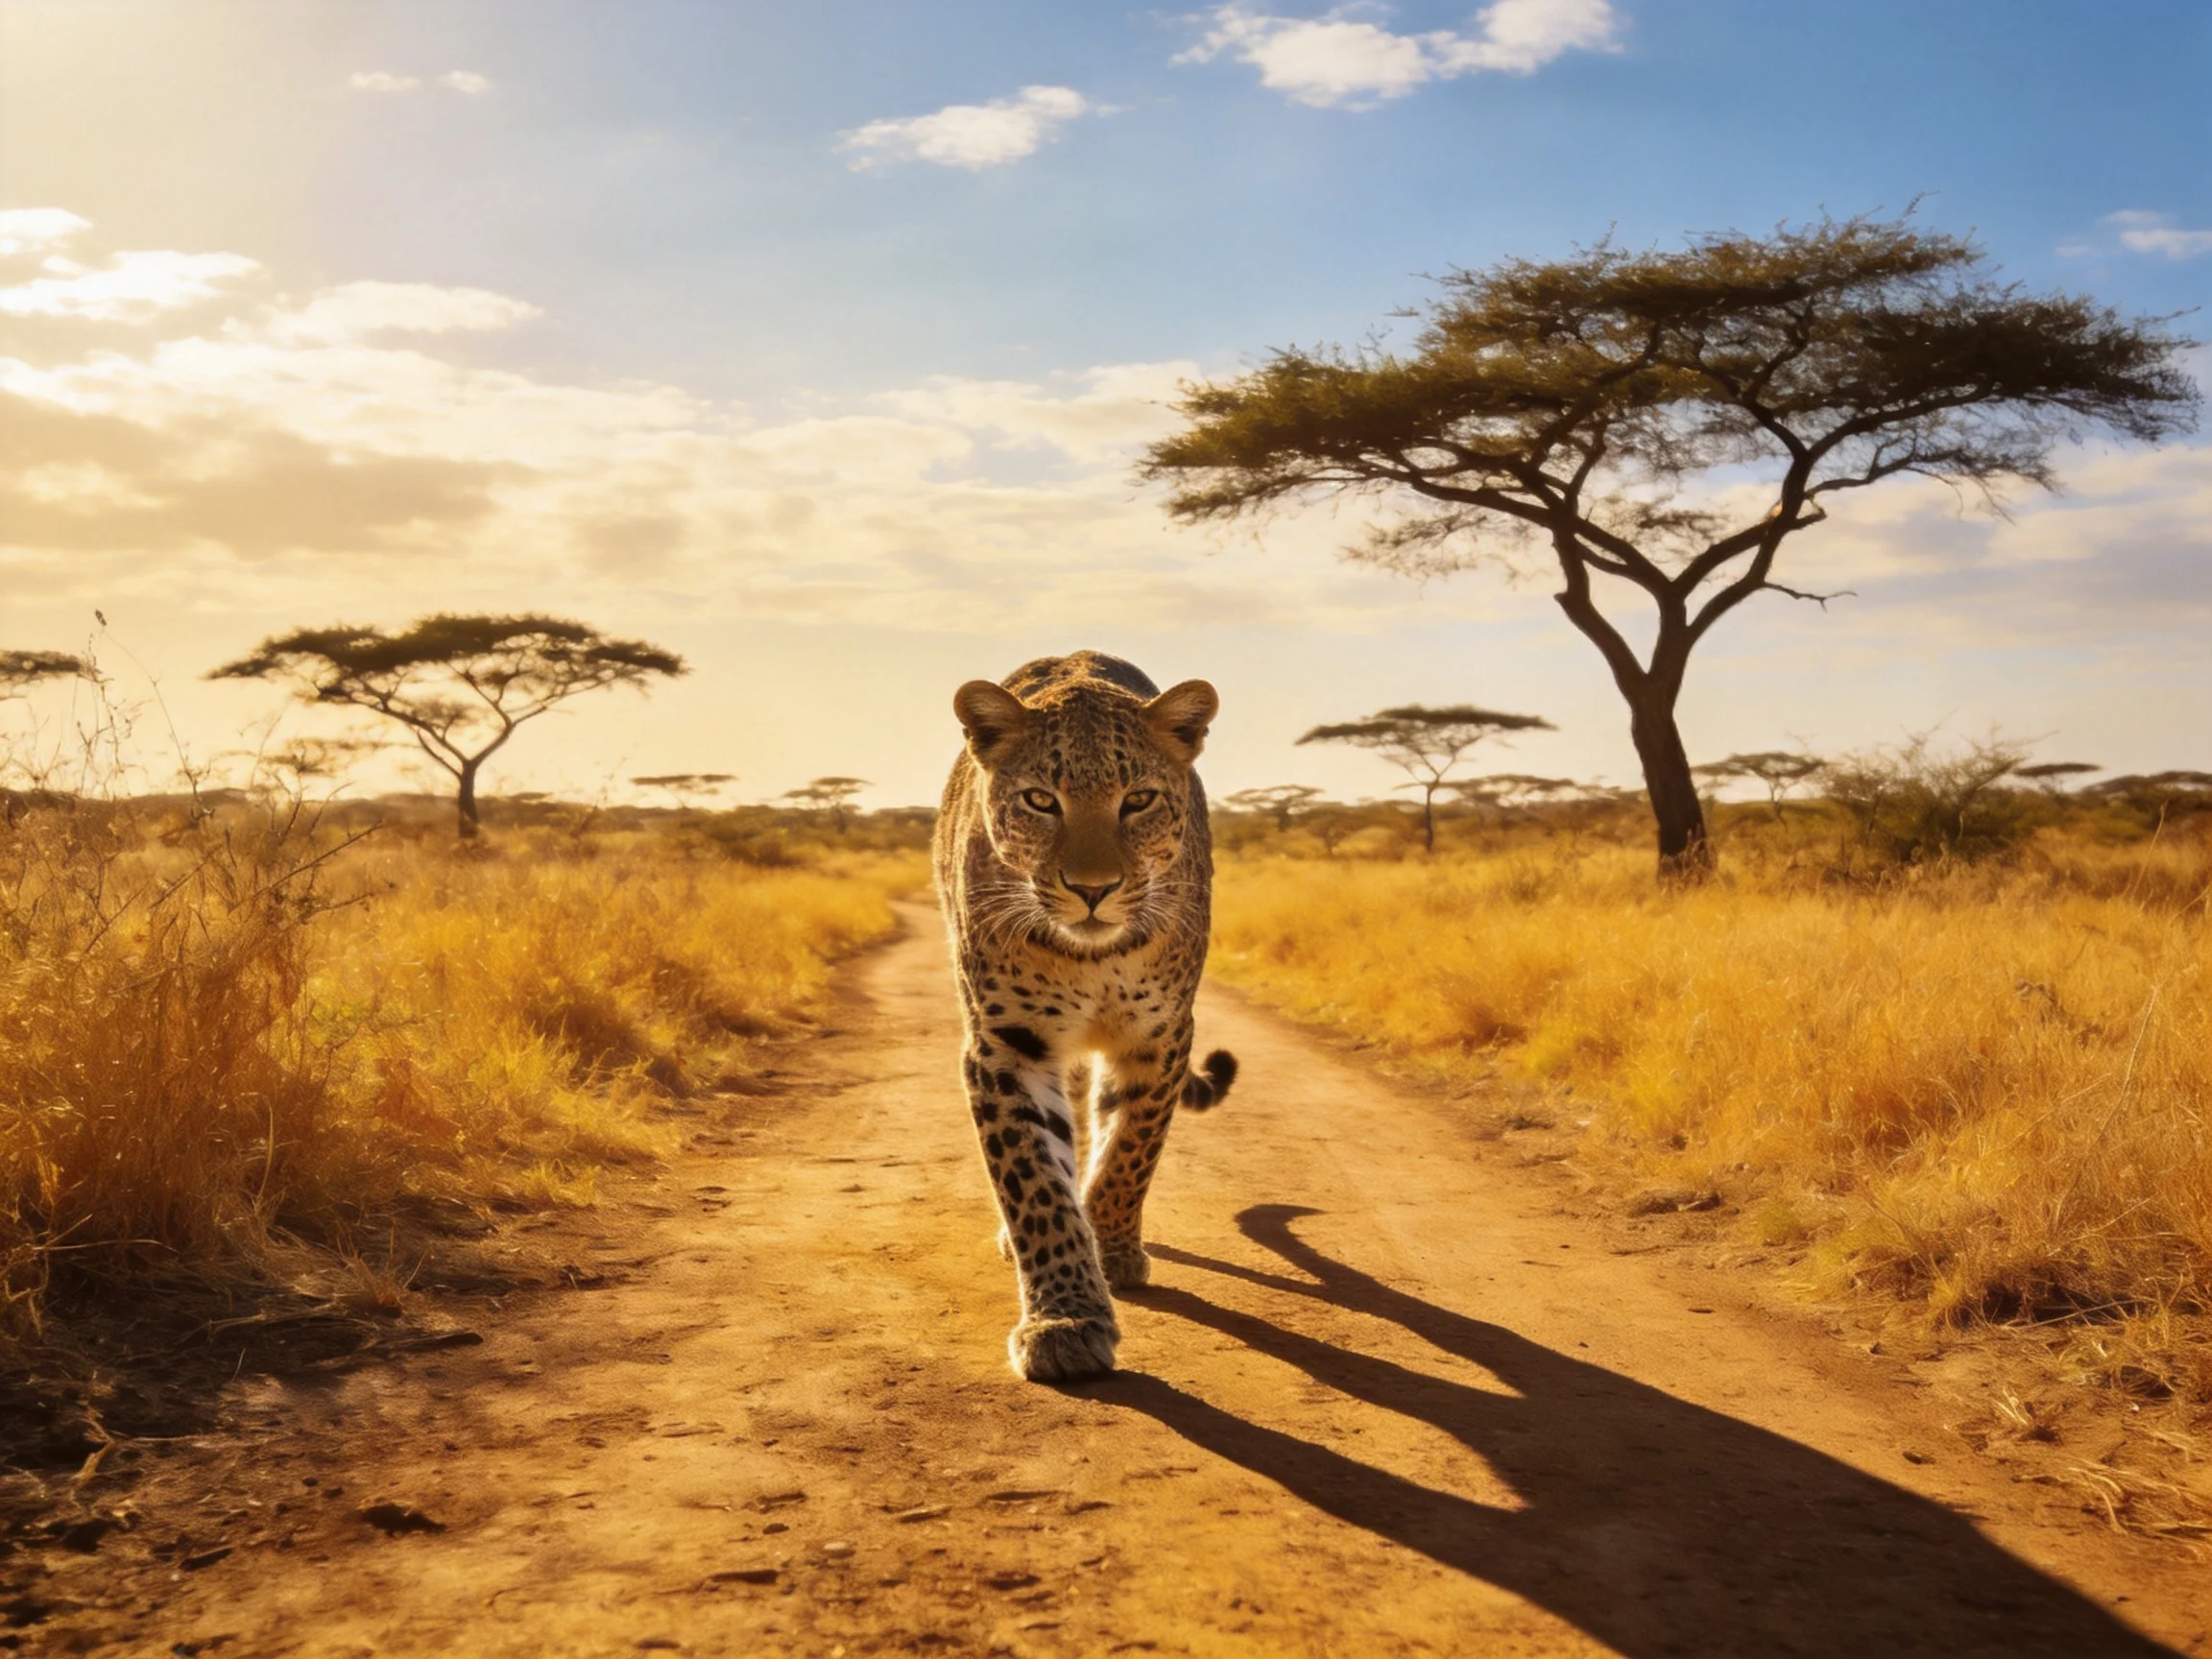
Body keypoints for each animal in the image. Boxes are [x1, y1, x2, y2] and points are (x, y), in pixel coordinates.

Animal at [932, 651, 1237, 1382]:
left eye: (1139, 800)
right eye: (1041, 801)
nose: (1093, 890)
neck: (1090, 960)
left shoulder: (1161, 1036)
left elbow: (1132, 1147)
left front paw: (1111, 1246)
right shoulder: (1003, 1045)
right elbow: (1035, 1184)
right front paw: (1066, 1318)